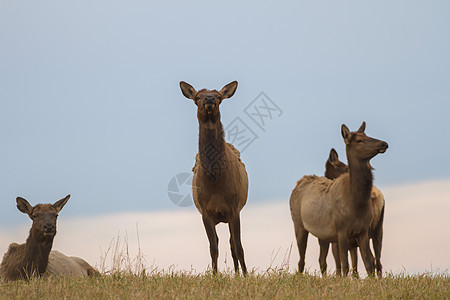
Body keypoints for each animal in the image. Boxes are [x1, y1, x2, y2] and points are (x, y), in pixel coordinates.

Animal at [180, 81, 250, 276]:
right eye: (197, 97)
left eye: (219, 96)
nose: (210, 99)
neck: (216, 183)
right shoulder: (205, 212)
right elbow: (213, 247)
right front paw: (214, 275)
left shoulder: (234, 208)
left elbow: (239, 247)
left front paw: (246, 275)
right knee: (220, 242)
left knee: (232, 245)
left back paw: (237, 274)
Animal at [320, 149, 386, 278]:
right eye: (344, 166)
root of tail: (376, 196)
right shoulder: (352, 243)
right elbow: (354, 266)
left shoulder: (337, 240)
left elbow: (339, 264)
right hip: (378, 229)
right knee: (378, 260)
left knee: (372, 259)